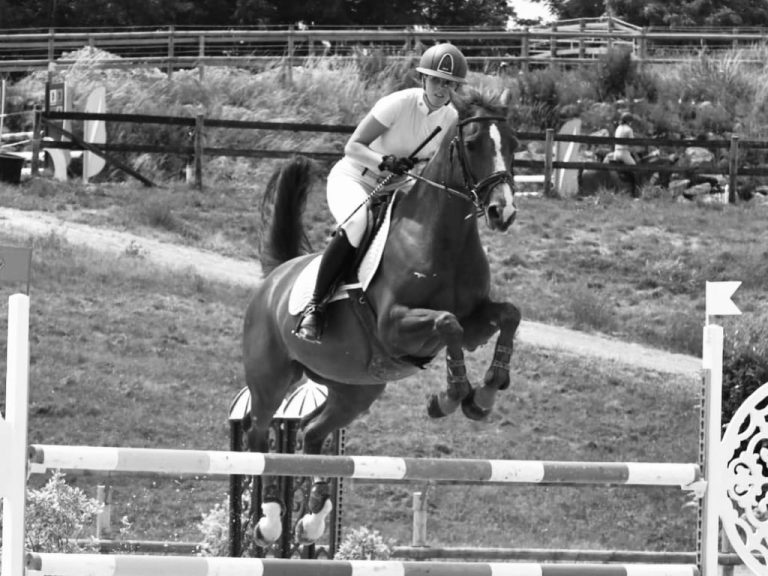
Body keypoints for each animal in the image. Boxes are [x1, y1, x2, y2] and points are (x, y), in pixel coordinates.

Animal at [243, 88, 520, 548]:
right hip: (271, 377)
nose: (504, 212)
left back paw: (312, 520)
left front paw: (484, 394)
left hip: (356, 388)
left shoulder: (477, 321)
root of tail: (277, 276)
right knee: (258, 432)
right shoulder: (394, 326)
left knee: (313, 430)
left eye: (514, 144)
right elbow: (448, 323)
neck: (443, 236)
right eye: (474, 143)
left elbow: (508, 315)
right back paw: (267, 521)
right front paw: (450, 397)